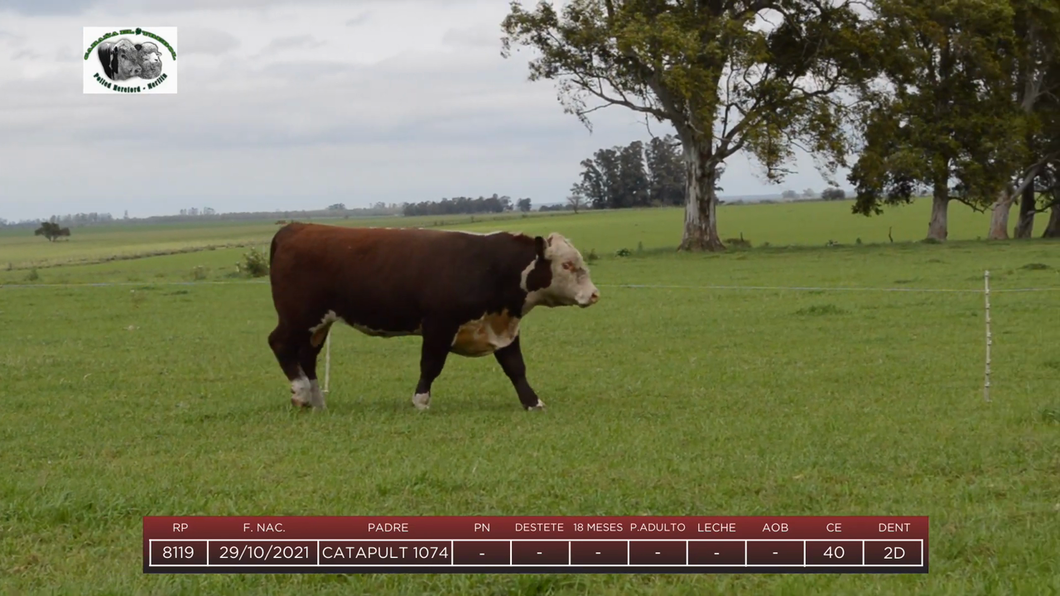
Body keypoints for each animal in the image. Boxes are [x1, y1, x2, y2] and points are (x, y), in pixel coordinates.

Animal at [263, 220, 602, 411]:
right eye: (567, 265)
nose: (594, 294)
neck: (490, 265)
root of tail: (298, 227)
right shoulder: (439, 325)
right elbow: (431, 365)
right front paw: (421, 402)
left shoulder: (502, 327)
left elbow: (516, 368)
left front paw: (533, 402)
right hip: (297, 317)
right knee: (278, 343)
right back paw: (300, 394)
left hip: (319, 324)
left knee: (307, 356)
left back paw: (317, 402)